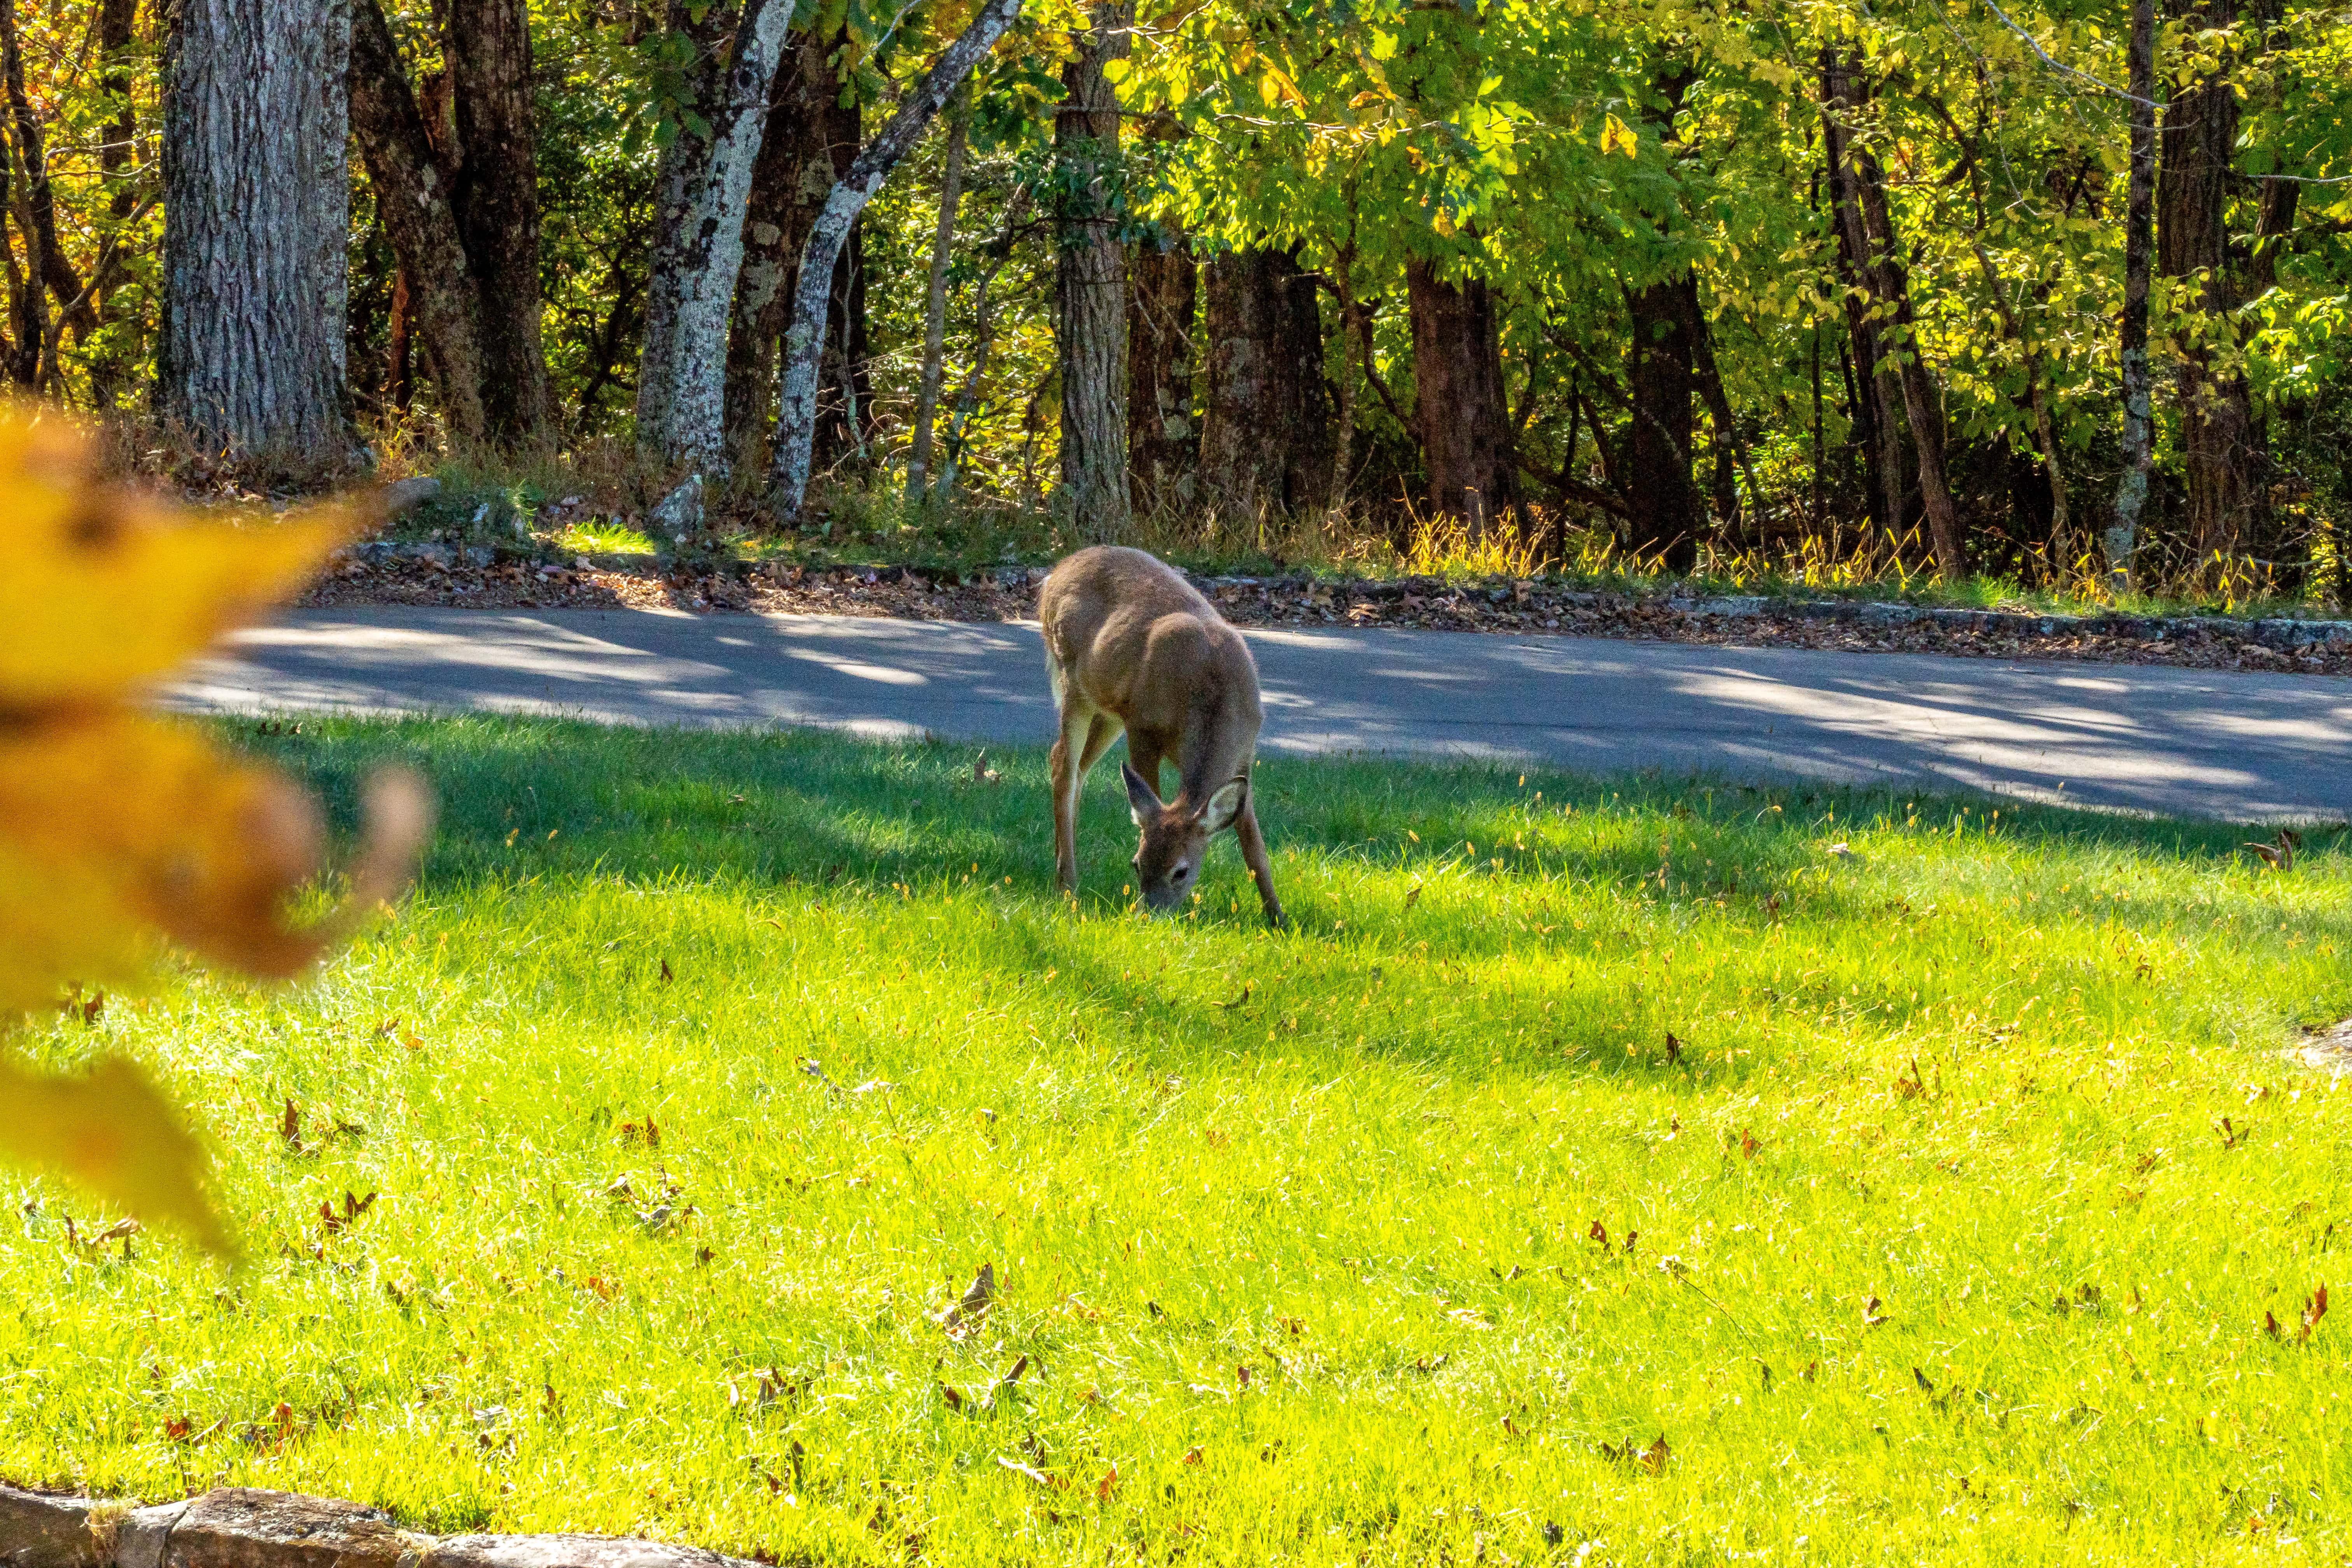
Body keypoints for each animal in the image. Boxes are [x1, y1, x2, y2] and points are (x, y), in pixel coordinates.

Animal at [1049, 545, 1289, 926]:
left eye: (1181, 872)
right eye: (1136, 864)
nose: (1149, 917)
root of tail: (1055, 574)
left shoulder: (1244, 756)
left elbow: (1256, 849)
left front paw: (1279, 919)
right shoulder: (1143, 726)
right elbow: (1151, 799)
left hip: (1109, 708)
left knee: (1075, 768)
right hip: (1075, 682)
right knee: (1063, 767)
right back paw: (1068, 885)